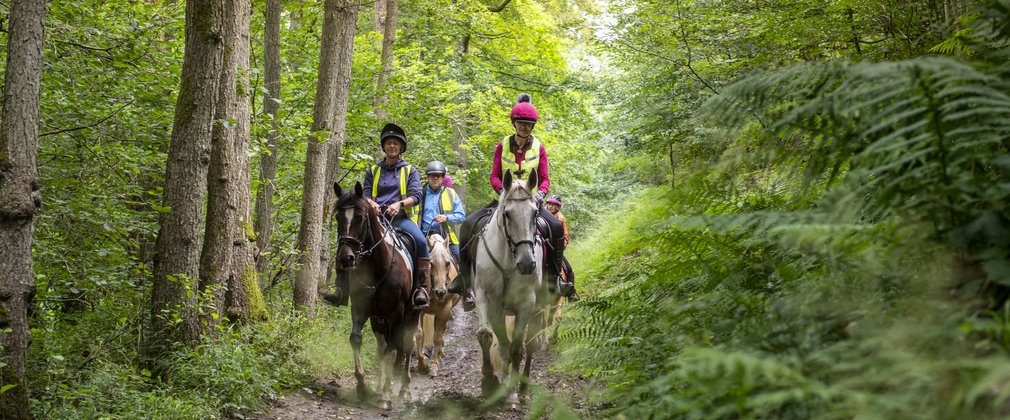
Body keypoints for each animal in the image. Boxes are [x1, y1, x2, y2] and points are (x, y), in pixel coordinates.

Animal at [333, 181, 420, 409]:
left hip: (412, 314)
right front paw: (363, 387)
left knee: (407, 345)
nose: (345, 258)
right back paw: (381, 385)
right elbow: (356, 339)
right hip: (378, 319)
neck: (378, 266)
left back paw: (404, 389)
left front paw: (387, 397)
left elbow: (392, 351)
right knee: (382, 347)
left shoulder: (396, 313)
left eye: (360, 218)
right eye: (338, 217)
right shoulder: (361, 308)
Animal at [414, 233, 462, 377]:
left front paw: (434, 366)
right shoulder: (419, 310)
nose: (440, 292)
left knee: (440, 334)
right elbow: (419, 333)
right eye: (430, 263)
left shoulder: (444, 311)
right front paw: (422, 364)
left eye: (447, 263)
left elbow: (437, 338)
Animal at [470, 168, 545, 409]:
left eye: (534, 213)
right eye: (507, 214)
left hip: (539, 309)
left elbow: (516, 349)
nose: (527, 264)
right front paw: (490, 382)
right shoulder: (486, 298)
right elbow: (490, 339)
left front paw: (511, 392)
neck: (508, 258)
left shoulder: (526, 305)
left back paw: (522, 390)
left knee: (530, 345)